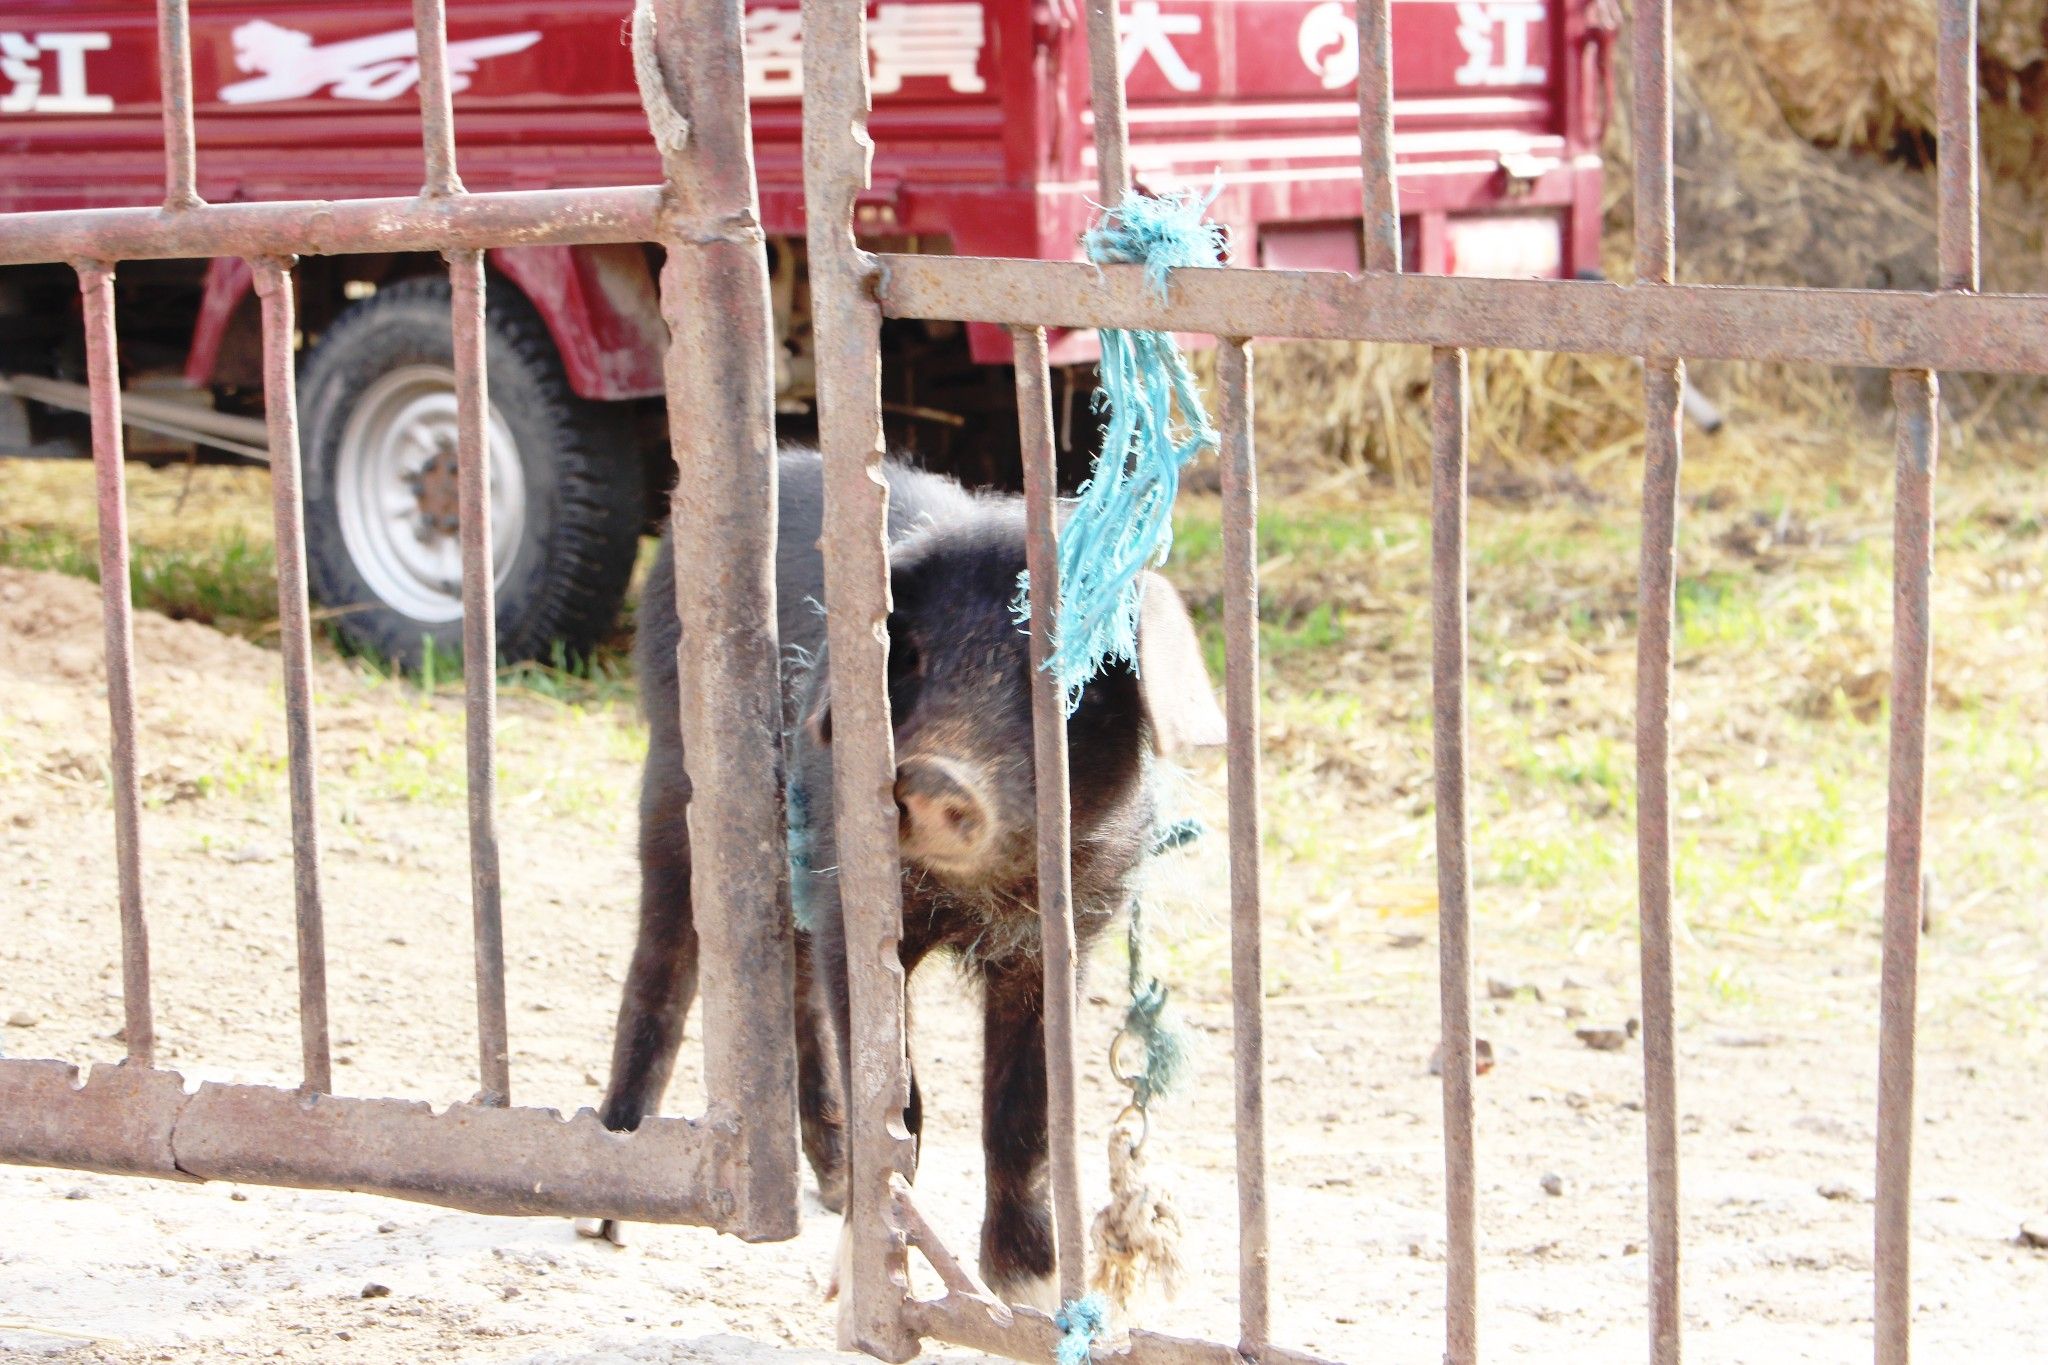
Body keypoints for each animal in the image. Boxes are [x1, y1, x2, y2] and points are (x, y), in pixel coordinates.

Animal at [593, 444, 1220, 1309]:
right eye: (911, 655)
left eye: (1058, 676)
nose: (932, 776)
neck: (976, 896)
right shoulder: (854, 891)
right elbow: (896, 1090)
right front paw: (863, 1273)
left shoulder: (1068, 928)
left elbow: (1025, 1106)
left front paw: (1027, 1288)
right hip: (673, 775)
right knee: (663, 961)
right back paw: (612, 1214)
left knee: (792, 980)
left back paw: (825, 1187)